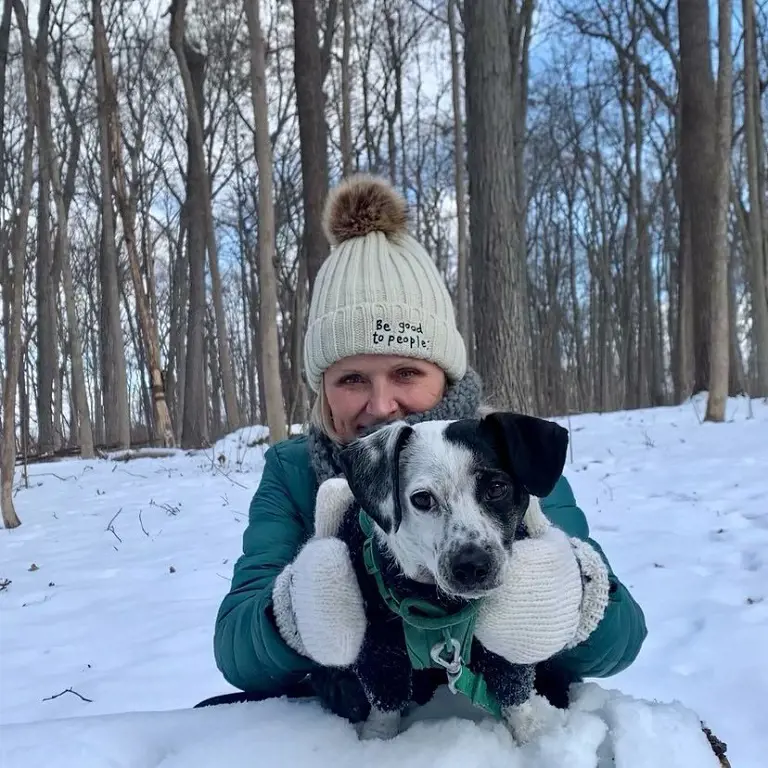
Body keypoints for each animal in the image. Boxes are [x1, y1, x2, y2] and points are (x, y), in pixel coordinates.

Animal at [308, 414, 572, 744]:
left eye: (497, 488)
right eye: (422, 499)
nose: (471, 565)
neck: (439, 607)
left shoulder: (505, 647)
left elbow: (515, 694)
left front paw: (531, 738)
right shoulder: (379, 647)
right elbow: (385, 704)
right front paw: (377, 741)